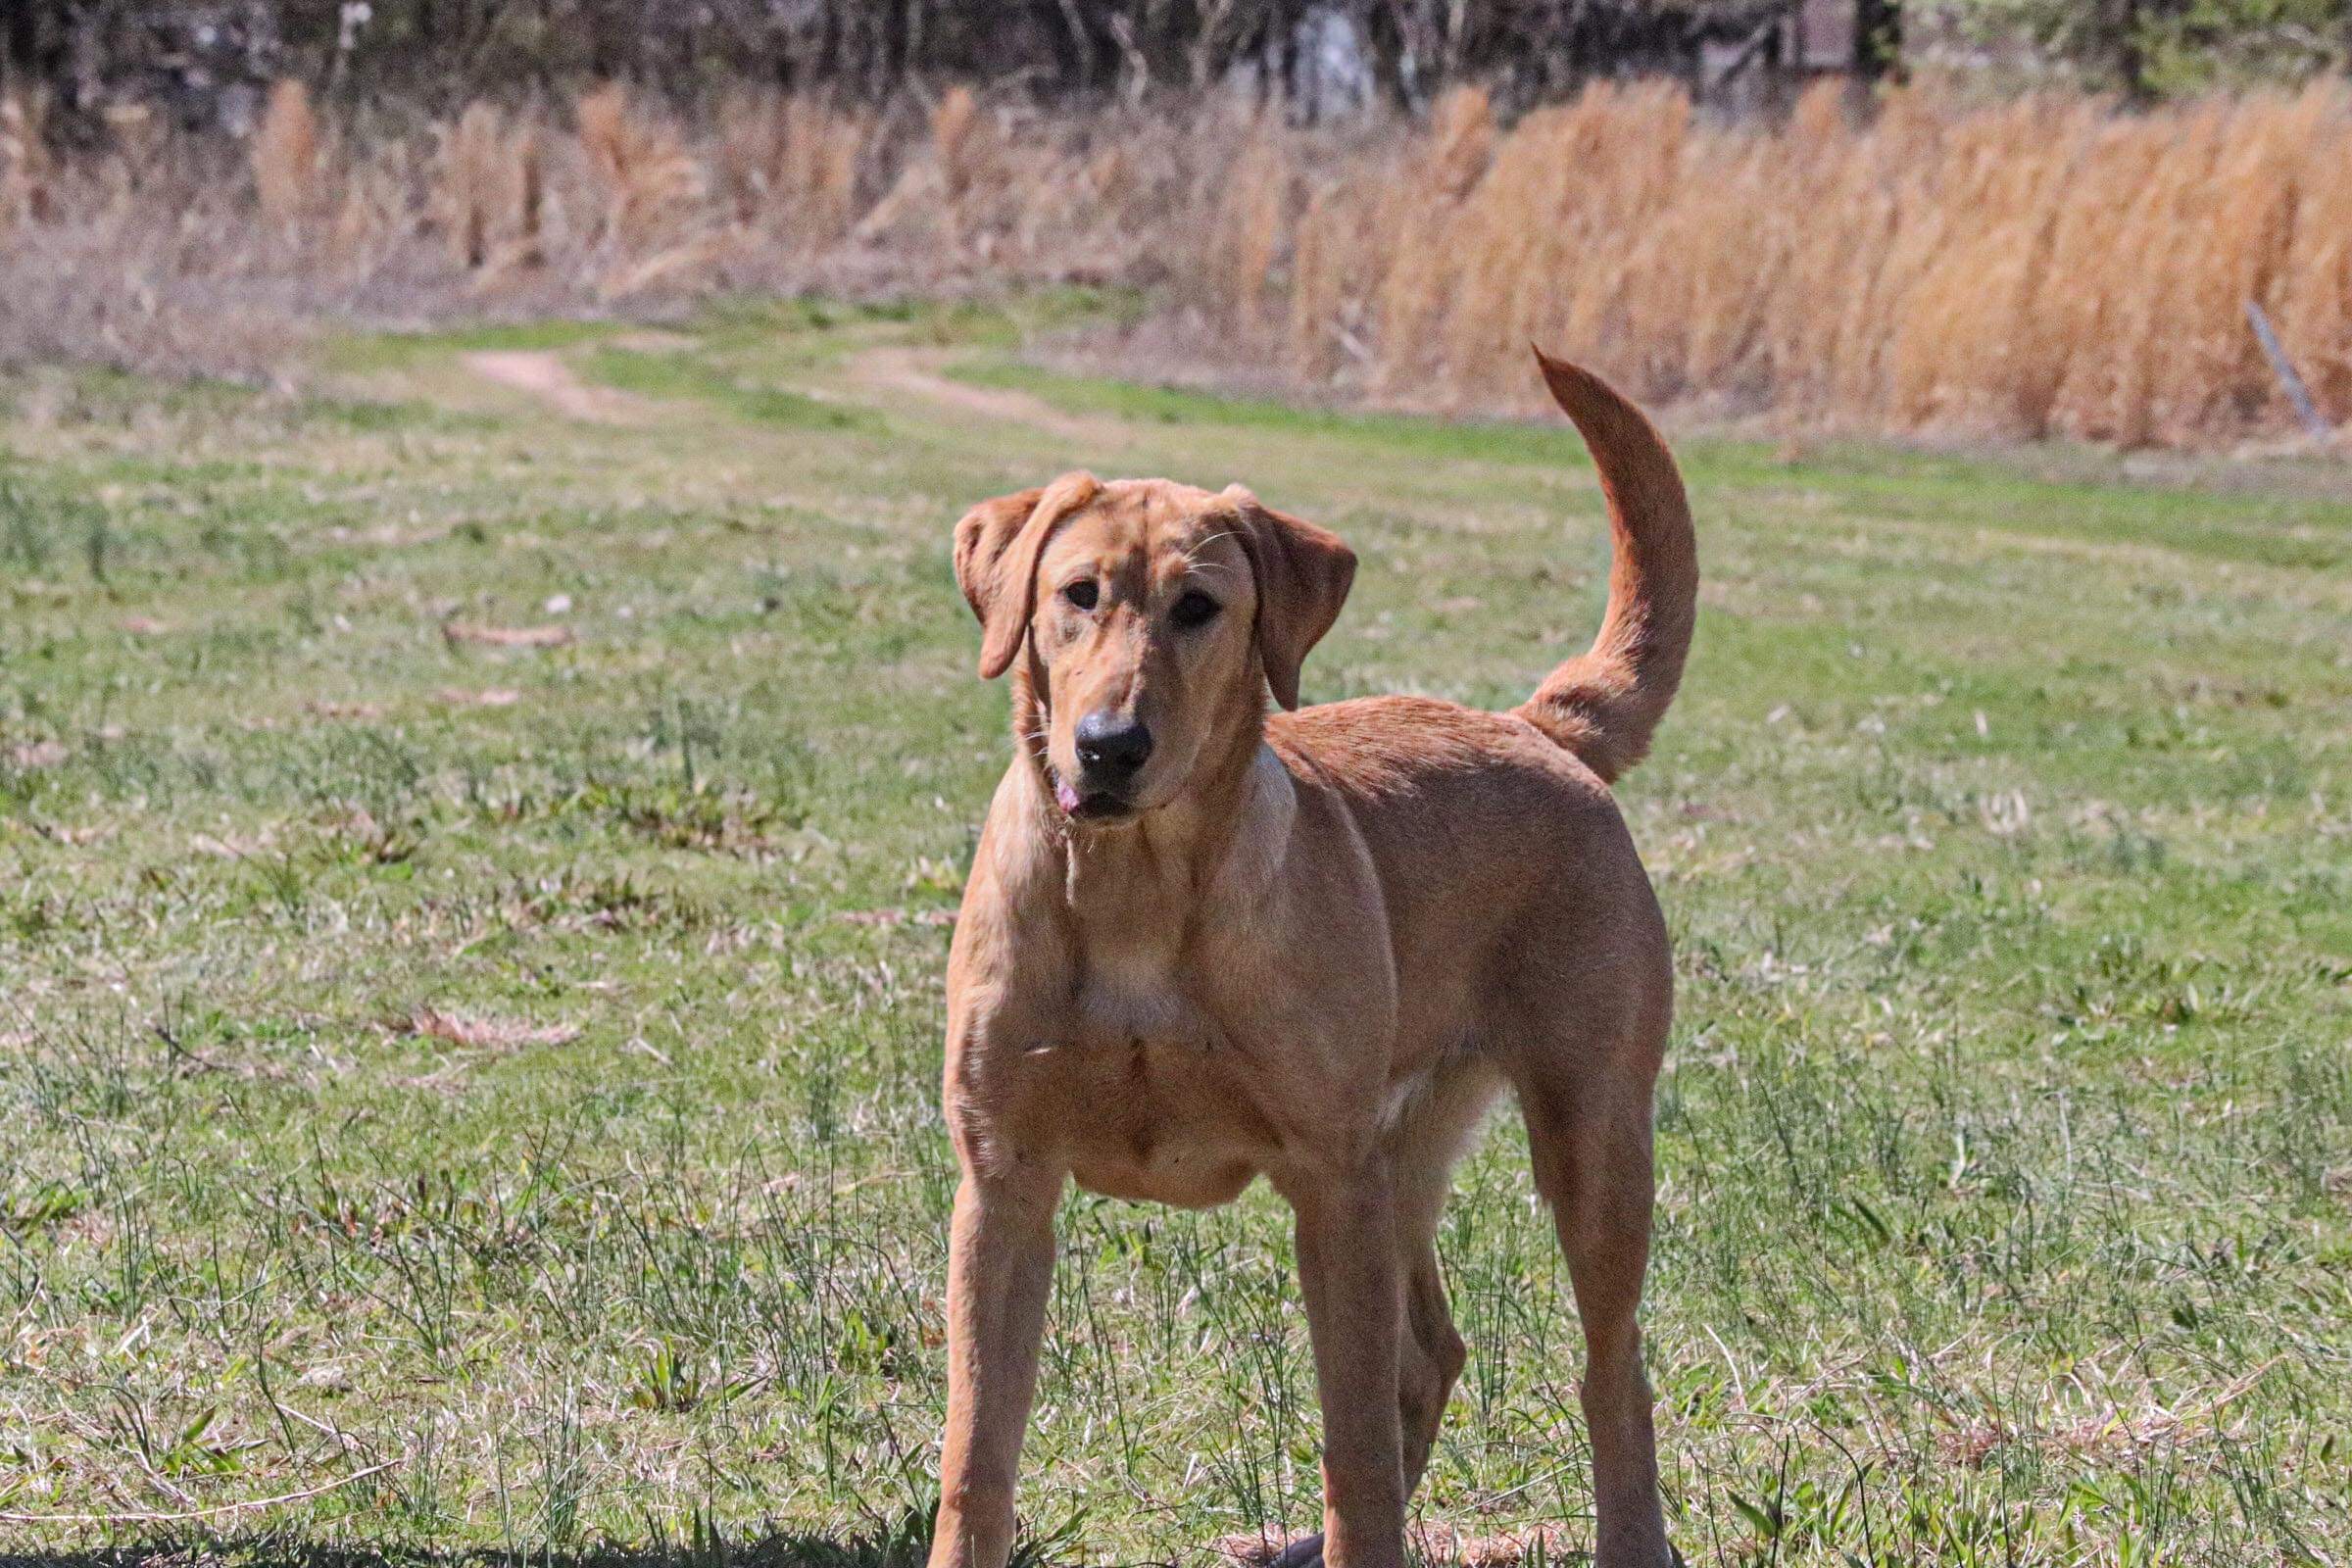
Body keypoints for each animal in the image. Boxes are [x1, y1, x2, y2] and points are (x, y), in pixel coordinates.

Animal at [931, 352, 1693, 1568]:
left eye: (1200, 607)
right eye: (1077, 594)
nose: (1109, 747)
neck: (1136, 891)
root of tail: (1537, 726)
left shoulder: (1329, 1186)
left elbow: (1357, 1456)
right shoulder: (1002, 1182)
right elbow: (975, 1458)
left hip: (1588, 1136)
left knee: (1609, 1371)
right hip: (1406, 1152)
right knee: (1436, 1350)